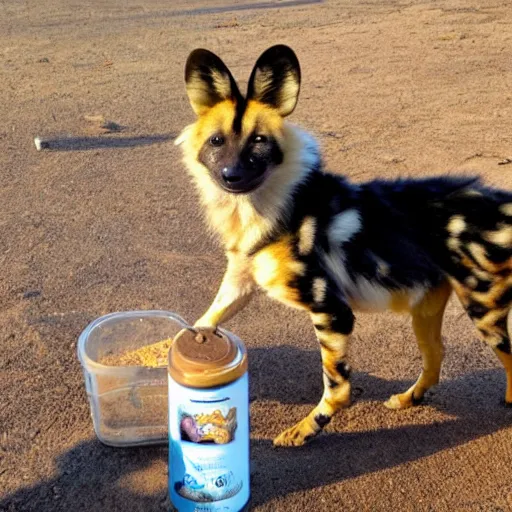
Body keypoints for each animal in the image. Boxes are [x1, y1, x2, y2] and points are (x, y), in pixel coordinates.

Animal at [175, 44, 512, 446]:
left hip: (483, 312)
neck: (272, 206)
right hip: (427, 309)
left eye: (259, 141)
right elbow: (204, 320)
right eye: (217, 141)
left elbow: (337, 389)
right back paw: (408, 398)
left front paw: (306, 430)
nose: (232, 176)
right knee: (435, 357)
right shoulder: (240, 283)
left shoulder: (332, 311)